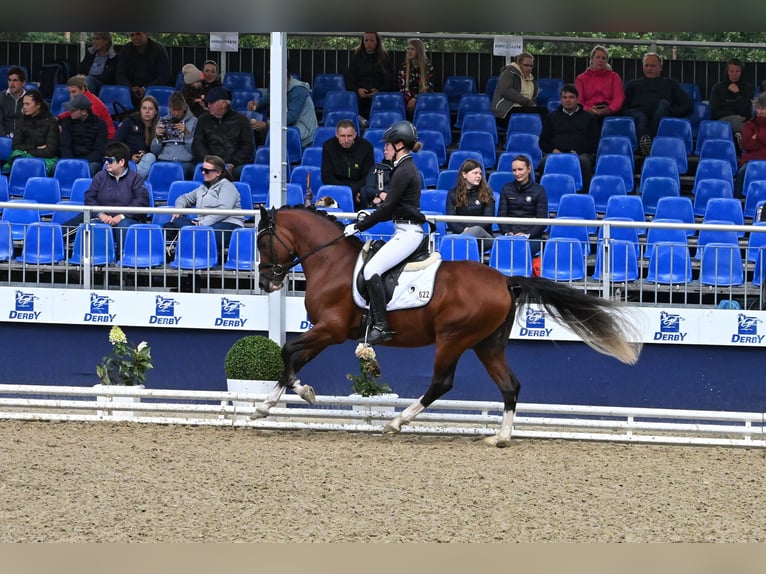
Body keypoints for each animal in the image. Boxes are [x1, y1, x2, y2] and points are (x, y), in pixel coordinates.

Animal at [254, 205, 640, 448]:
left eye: (261, 241)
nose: (266, 282)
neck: (331, 261)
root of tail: (505, 281)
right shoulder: (326, 331)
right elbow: (294, 358)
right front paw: (266, 405)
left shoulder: (330, 329)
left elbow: (288, 350)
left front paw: (302, 392)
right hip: (488, 345)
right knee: (510, 385)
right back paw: (500, 437)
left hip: (453, 339)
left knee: (442, 382)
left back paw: (397, 423)